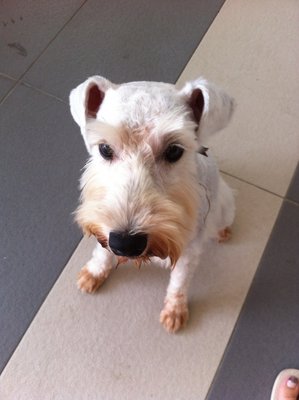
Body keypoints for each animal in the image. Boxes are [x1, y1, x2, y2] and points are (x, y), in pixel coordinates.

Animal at [69, 76, 236, 332]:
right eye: (105, 148)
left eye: (174, 150)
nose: (126, 244)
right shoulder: (103, 226)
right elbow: (102, 251)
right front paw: (95, 272)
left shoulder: (188, 253)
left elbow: (179, 283)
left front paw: (175, 310)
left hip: (225, 205)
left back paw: (223, 232)